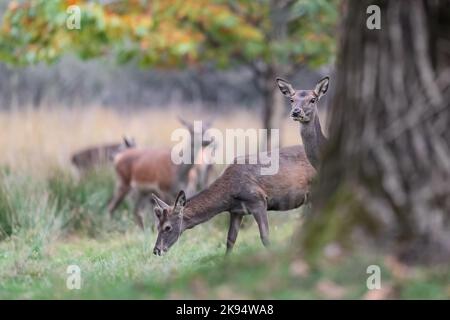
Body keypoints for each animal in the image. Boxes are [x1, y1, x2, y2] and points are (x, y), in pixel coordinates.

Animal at [149, 146, 314, 256]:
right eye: (157, 226)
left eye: (168, 227)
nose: (156, 250)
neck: (229, 194)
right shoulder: (236, 211)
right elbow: (230, 240)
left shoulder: (259, 201)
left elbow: (265, 236)